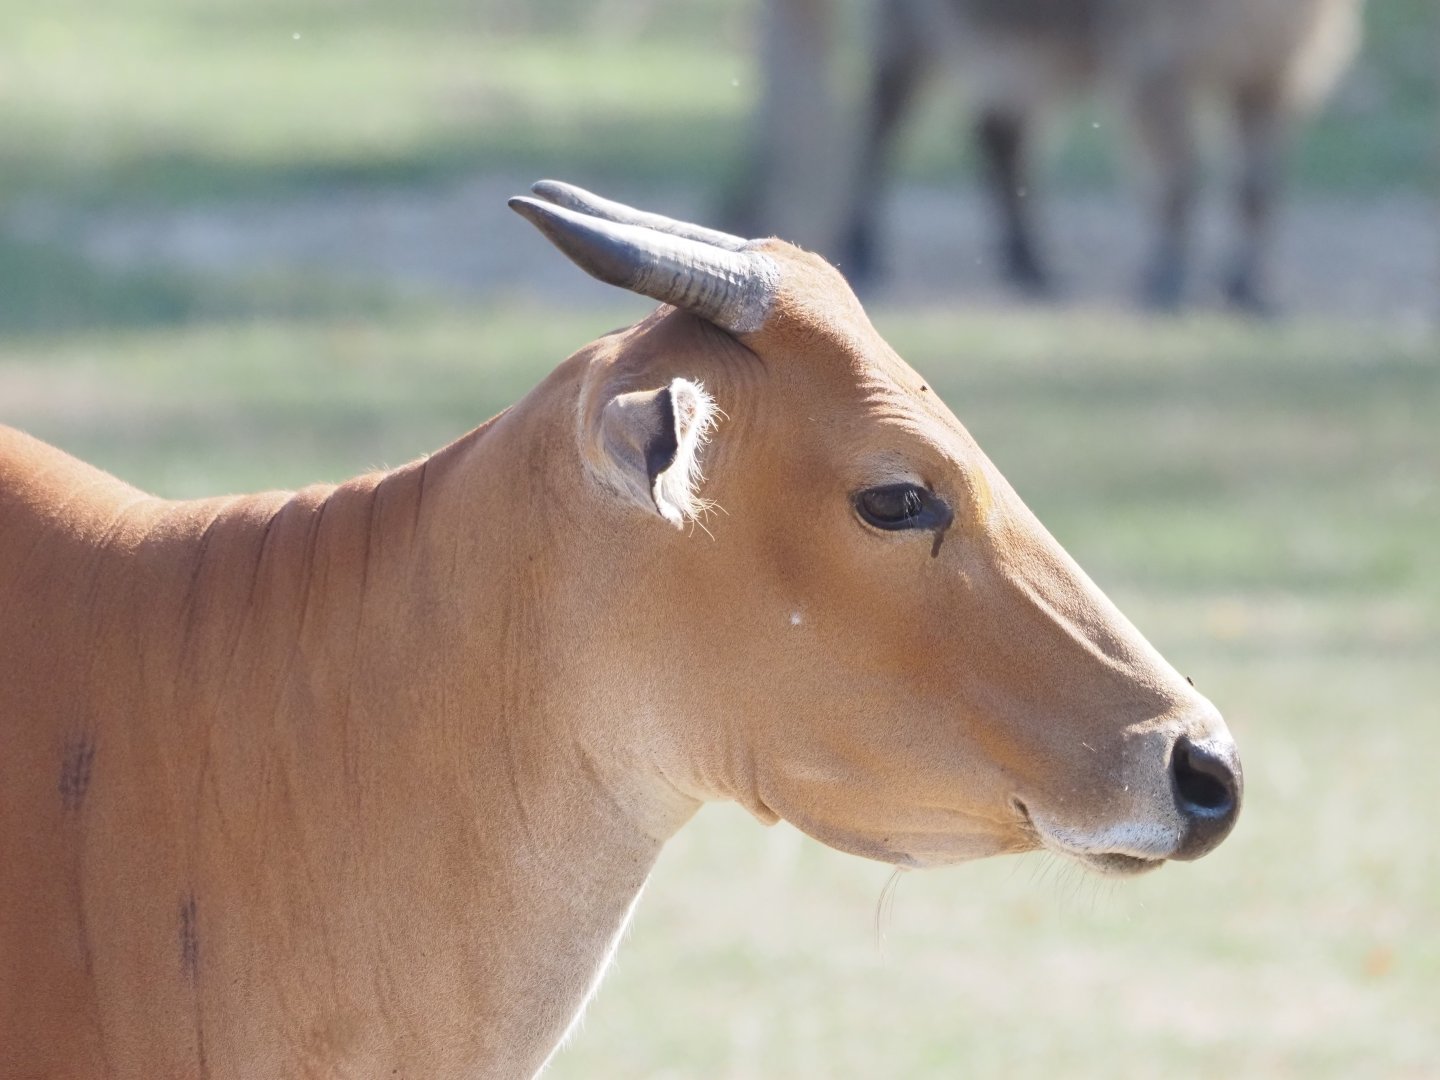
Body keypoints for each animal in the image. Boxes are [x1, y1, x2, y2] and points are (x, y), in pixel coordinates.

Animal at [839, 0, 1363, 312]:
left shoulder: (1270, 73)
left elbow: (1258, 189)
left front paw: (1254, 291)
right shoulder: (1156, 67)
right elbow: (1178, 180)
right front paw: (1167, 284)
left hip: (1029, 58)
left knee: (1001, 138)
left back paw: (1032, 267)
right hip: (909, 33)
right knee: (877, 130)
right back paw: (864, 249)